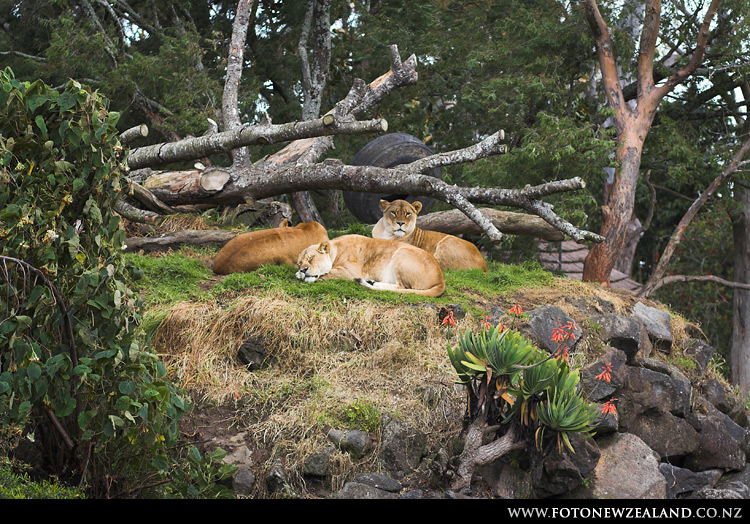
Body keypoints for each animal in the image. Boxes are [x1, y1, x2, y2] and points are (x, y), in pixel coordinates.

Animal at [295, 234, 445, 297]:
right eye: (299, 263)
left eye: (311, 258)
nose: (303, 269)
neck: (335, 250)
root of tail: (441, 280)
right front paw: (299, 274)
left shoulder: (351, 273)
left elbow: (330, 273)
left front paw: (305, 276)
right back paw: (371, 282)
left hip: (401, 252)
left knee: (402, 287)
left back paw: (374, 283)